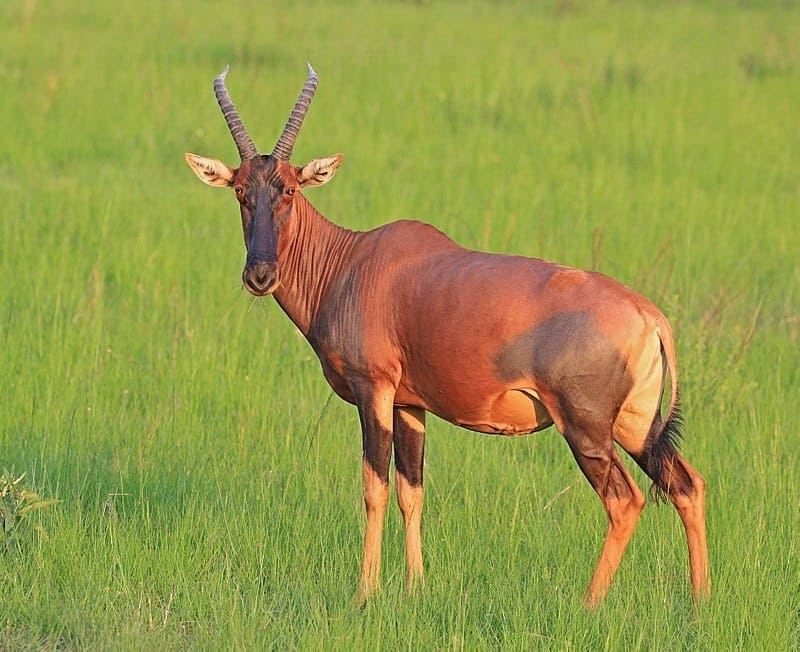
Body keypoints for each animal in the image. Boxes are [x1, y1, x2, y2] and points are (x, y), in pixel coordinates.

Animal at [184, 63, 708, 604]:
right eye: (241, 191)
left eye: (289, 188)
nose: (260, 275)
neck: (352, 260)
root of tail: (649, 315)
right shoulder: (409, 404)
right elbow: (411, 490)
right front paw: (415, 586)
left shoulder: (374, 390)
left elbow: (374, 486)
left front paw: (365, 592)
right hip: (637, 425)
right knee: (687, 485)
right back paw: (699, 602)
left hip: (585, 428)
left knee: (624, 501)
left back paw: (589, 604)